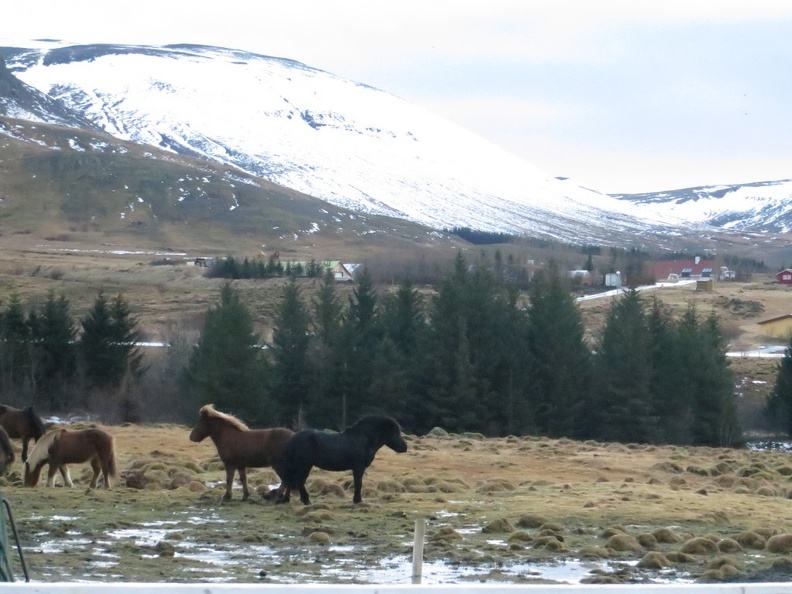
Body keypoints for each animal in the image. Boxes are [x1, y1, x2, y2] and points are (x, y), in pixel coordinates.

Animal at [280, 412, 408, 504]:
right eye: (395, 432)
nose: (405, 447)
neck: (363, 439)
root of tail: (292, 438)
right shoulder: (359, 467)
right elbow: (358, 483)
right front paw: (357, 500)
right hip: (304, 465)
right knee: (300, 481)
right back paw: (306, 501)